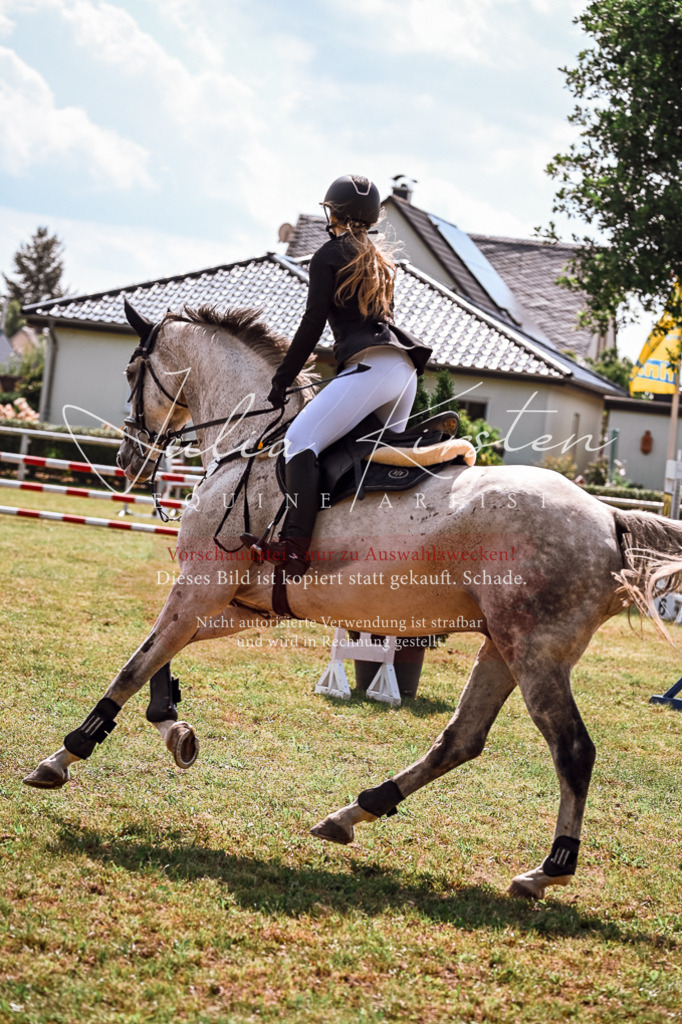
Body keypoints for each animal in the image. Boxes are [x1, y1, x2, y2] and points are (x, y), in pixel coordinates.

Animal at [23, 301, 682, 900]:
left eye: (133, 369)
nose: (126, 458)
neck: (247, 442)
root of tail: (607, 517)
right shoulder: (236, 603)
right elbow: (159, 659)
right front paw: (173, 729)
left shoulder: (202, 587)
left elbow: (135, 663)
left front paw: (65, 755)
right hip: (503, 645)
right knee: (461, 740)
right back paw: (351, 814)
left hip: (536, 653)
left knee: (572, 750)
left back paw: (547, 871)